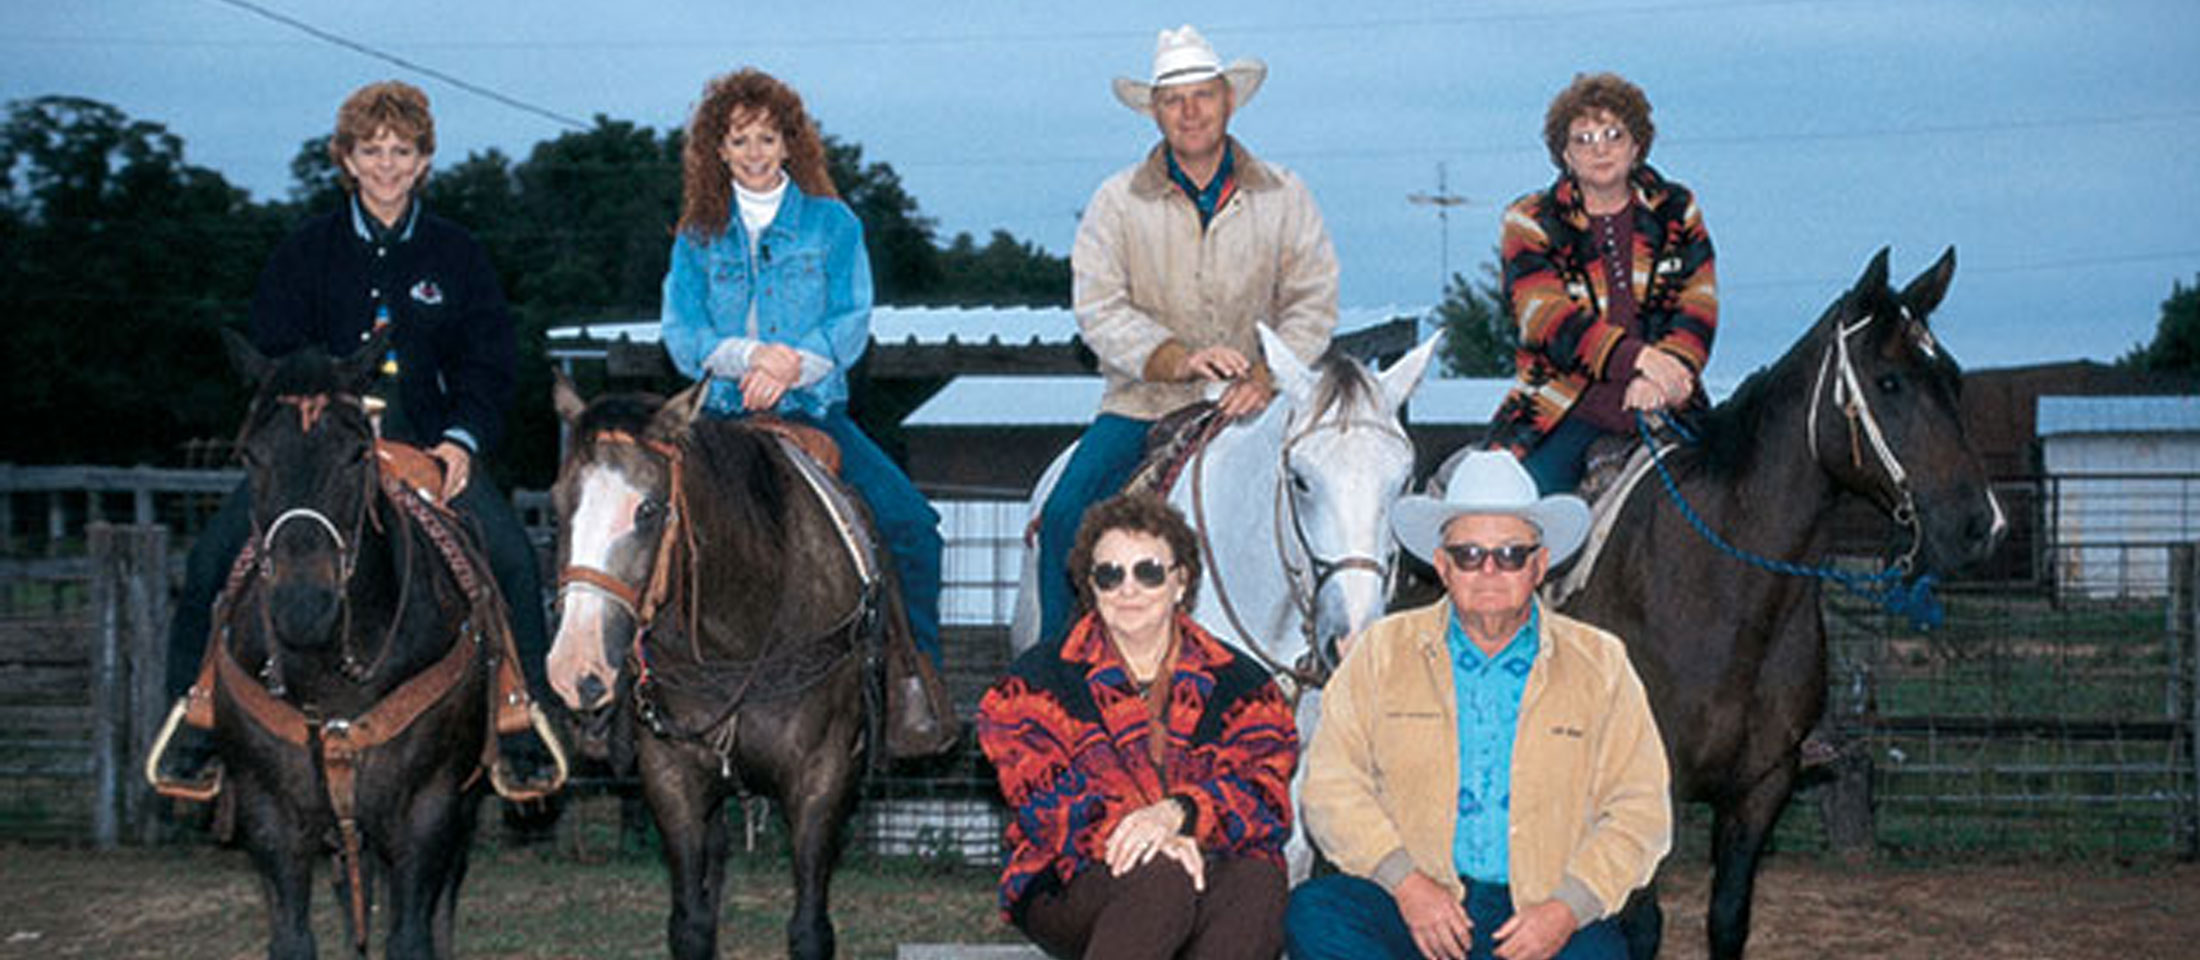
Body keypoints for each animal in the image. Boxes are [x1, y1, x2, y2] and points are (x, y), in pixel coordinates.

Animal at [1566, 249, 2015, 960]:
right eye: (1890, 382)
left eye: (1953, 379)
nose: (1982, 526)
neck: (1725, 598)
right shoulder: (1646, 790)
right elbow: (1642, 928)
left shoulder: (1760, 791)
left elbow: (1728, 920)